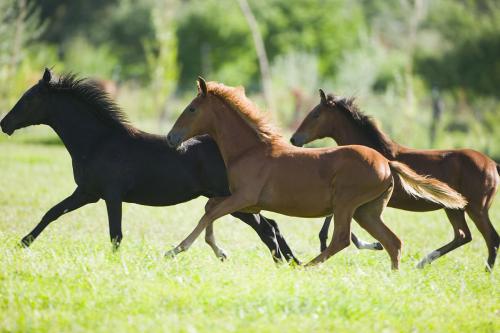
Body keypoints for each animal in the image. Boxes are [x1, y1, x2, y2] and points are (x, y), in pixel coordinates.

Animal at [0, 69, 378, 262]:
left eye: (29, 99)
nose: (5, 124)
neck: (98, 141)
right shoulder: (87, 192)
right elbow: (51, 213)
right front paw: (22, 244)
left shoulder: (109, 195)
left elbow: (115, 234)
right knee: (269, 226)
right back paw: (285, 260)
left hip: (235, 201)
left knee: (267, 227)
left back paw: (283, 260)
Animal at [166, 78, 466, 270]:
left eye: (192, 108)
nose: (171, 138)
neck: (251, 150)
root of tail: (387, 163)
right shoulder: (244, 201)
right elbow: (210, 209)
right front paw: (216, 250)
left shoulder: (244, 198)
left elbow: (209, 213)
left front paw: (176, 249)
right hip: (367, 211)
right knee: (393, 242)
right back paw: (393, 277)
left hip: (346, 204)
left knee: (342, 239)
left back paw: (306, 267)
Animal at [292, 90, 498, 270]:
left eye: (316, 114)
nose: (294, 139)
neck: (378, 152)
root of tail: (493, 164)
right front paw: (373, 244)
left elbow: (330, 225)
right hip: (454, 208)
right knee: (463, 235)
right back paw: (423, 262)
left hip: (476, 209)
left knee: (491, 238)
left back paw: (486, 272)